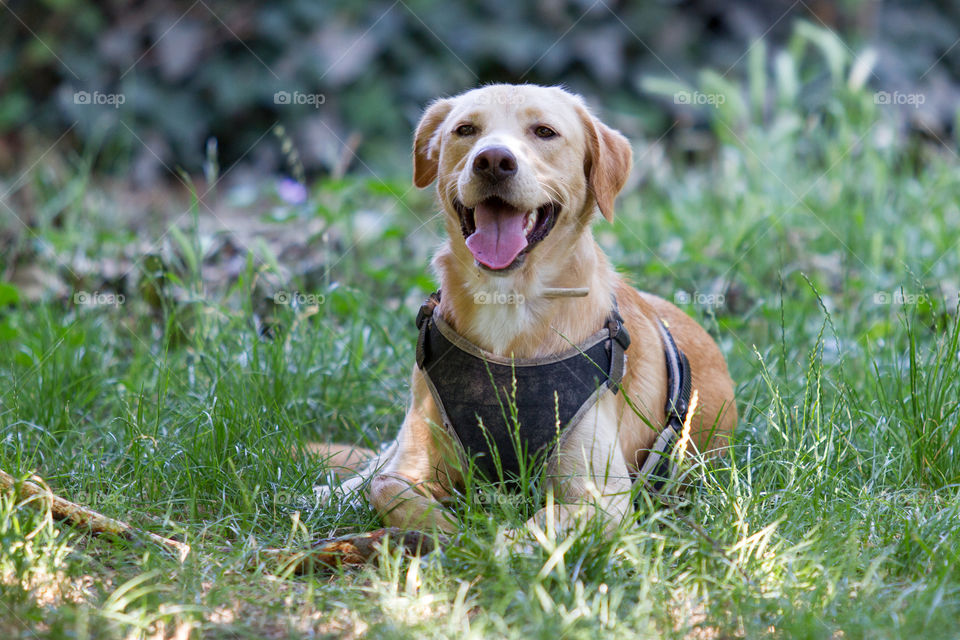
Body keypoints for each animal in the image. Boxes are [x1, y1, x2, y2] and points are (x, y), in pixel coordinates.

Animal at [318, 85, 740, 536]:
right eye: (465, 130)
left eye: (544, 132)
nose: (492, 160)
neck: (507, 302)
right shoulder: (412, 464)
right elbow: (384, 486)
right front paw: (446, 526)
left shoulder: (601, 496)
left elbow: (522, 532)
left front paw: (472, 536)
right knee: (371, 468)